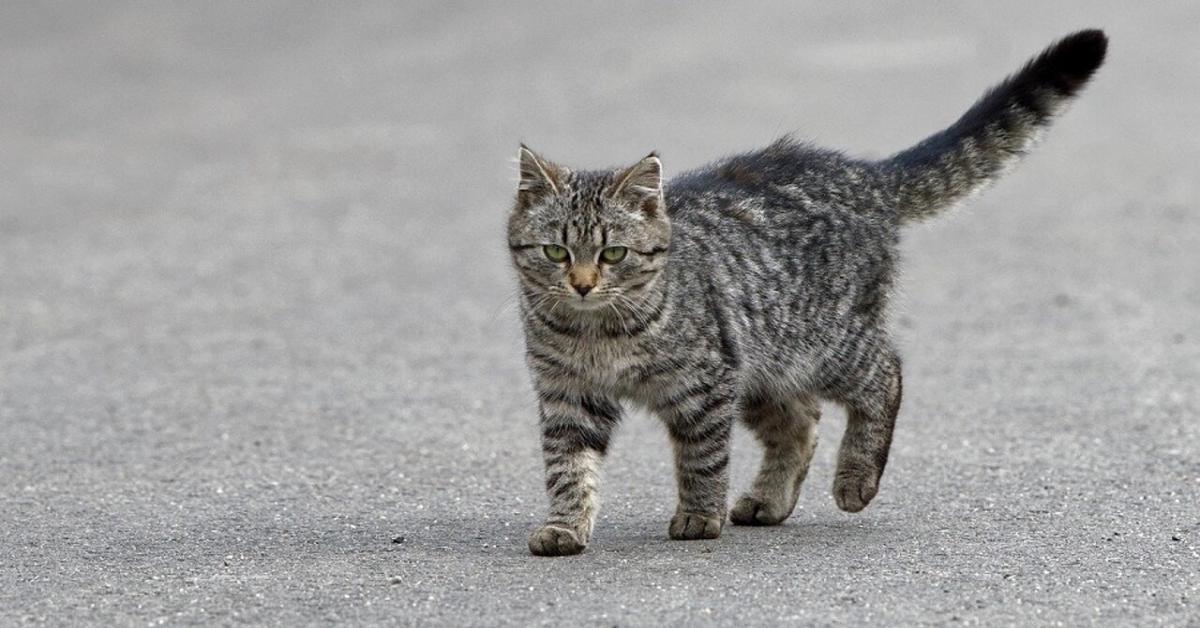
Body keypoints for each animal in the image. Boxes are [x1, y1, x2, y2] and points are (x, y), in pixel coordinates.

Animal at [506, 31, 1104, 557]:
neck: (596, 331)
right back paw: (770, 500)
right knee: (801, 422)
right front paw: (565, 526)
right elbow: (567, 467)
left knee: (885, 372)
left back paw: (856, 478)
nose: (583, 284)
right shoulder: (568, 394)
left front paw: (699, 514)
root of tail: (865, 174)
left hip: (824, 343)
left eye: (613, 254)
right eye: (557, 252)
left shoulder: (706, 384)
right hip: (765, 365)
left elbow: (702, 458)